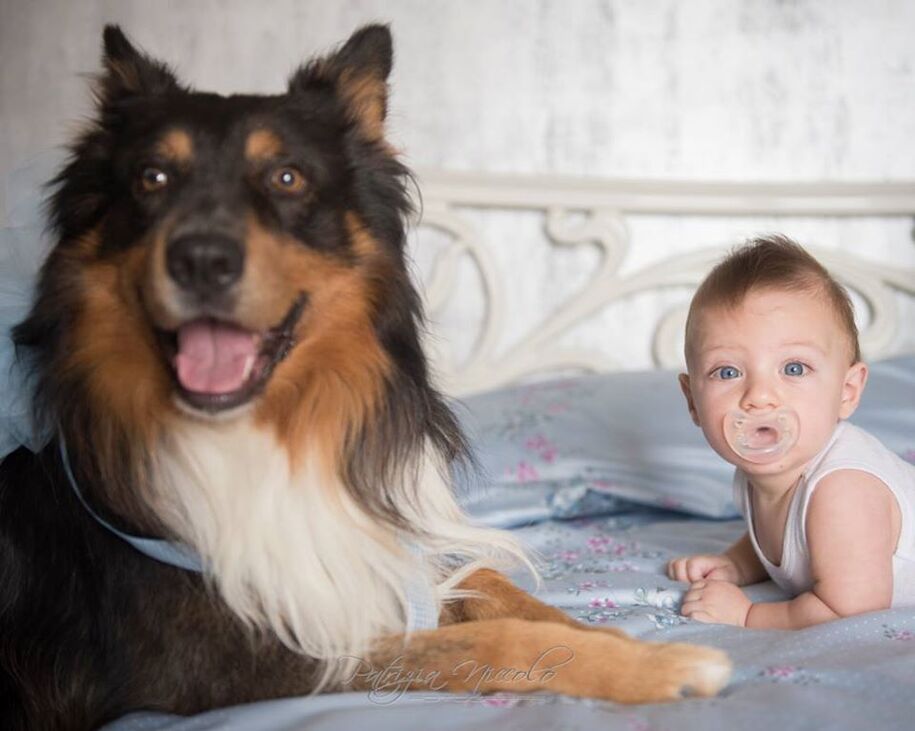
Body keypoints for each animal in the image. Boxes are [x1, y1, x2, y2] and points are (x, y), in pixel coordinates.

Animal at [0, 24, 728, 731]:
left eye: (287, 177)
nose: (201, 259)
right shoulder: (226, 659)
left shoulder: (365, 557)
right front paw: (665, 666)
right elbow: (492, 640)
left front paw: (629, 640)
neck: (266, 431)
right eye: (152, 178)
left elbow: (496, 588)